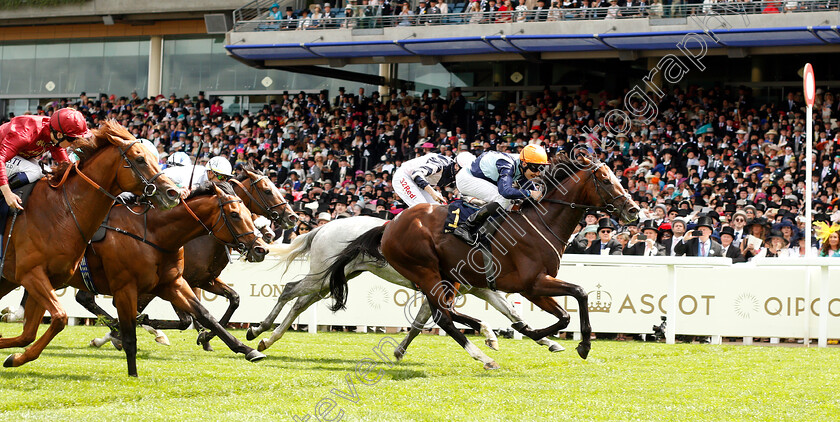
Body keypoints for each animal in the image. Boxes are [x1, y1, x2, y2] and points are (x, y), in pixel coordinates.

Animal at [0, 119, 182, 370]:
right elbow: (60, 318)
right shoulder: (30, 273)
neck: (63, 211)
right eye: (140, 159)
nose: (173, 193)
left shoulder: (47, 278)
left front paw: (15, 357)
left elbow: (30, 333)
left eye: (155, 159)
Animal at [66, 181, 270, 376]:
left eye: (250, 214)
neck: (155, 234)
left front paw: (241, 347)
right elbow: (180, 319)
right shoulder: (141, 286)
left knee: (84, 299)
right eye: (234, 215)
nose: (261, 249)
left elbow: (212, 309)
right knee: (84, 299)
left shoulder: (189, 281)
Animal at [76, 166, 298, 352]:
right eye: (267, 190)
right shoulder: (173, 281)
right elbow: (178, 317)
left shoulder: (203, 279)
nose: (293, 217)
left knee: (85, 298)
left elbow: (232, 299)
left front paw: (206, 337)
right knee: (85, 298)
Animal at [246, 214, 560, 356]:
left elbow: (513, 313)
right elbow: (434, 318)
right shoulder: (445, 287)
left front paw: (545, 339)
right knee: (290, 290)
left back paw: (267, 337)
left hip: (336, 276)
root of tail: (325, 226)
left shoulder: (478, 288)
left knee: (300, 301)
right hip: (323, 275)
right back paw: (258, 329)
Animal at [326, 154, 636, 370]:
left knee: (444, 312)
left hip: (444, 277)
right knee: (444, 317)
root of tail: (389, 226)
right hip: (425, 271)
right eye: (605, 180)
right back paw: (484, 356)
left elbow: (565, 312)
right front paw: (572, 342)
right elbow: (578, 296)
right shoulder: (532, 284)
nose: (634, 210)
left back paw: (486, 334)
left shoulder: (534, 286)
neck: (541, 222)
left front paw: (545, 336)